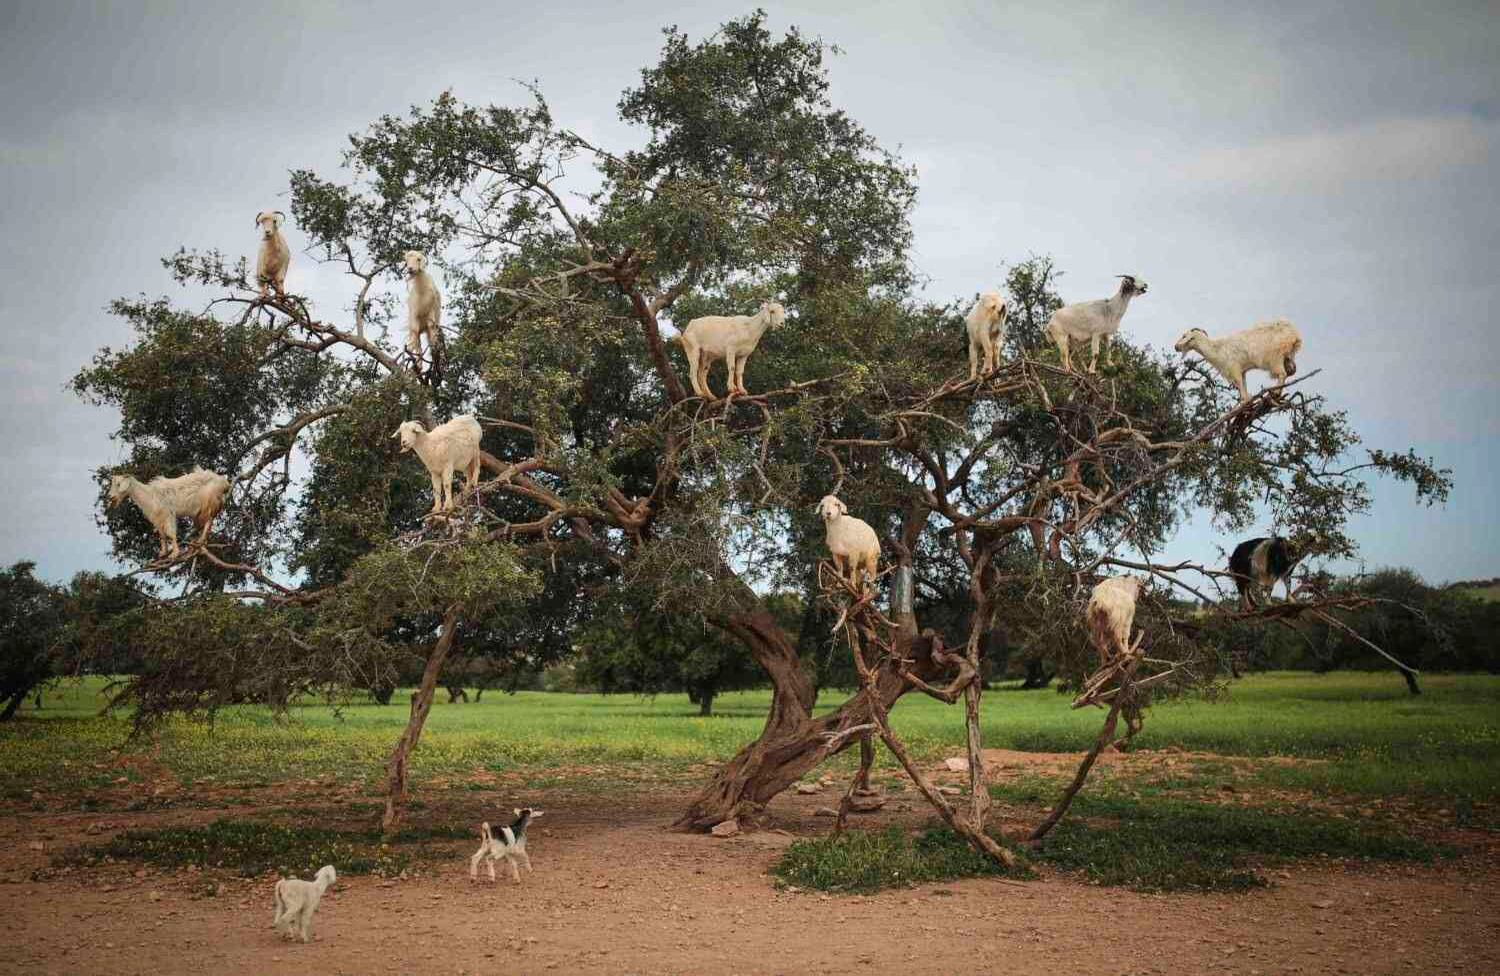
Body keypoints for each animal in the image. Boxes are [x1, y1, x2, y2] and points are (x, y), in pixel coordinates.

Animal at [1173, 319, 1302, 402]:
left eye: (1184, 336)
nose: (1176, 347)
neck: (1217, 348)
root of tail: (1294, 335)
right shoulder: (1242, 371)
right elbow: (1244, 389)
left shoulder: (1234, 369)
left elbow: (1242, 393)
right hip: (1288, 357)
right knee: (1291, 371)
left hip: (1275, 358)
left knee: (1282, 374)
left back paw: (1275, 393)